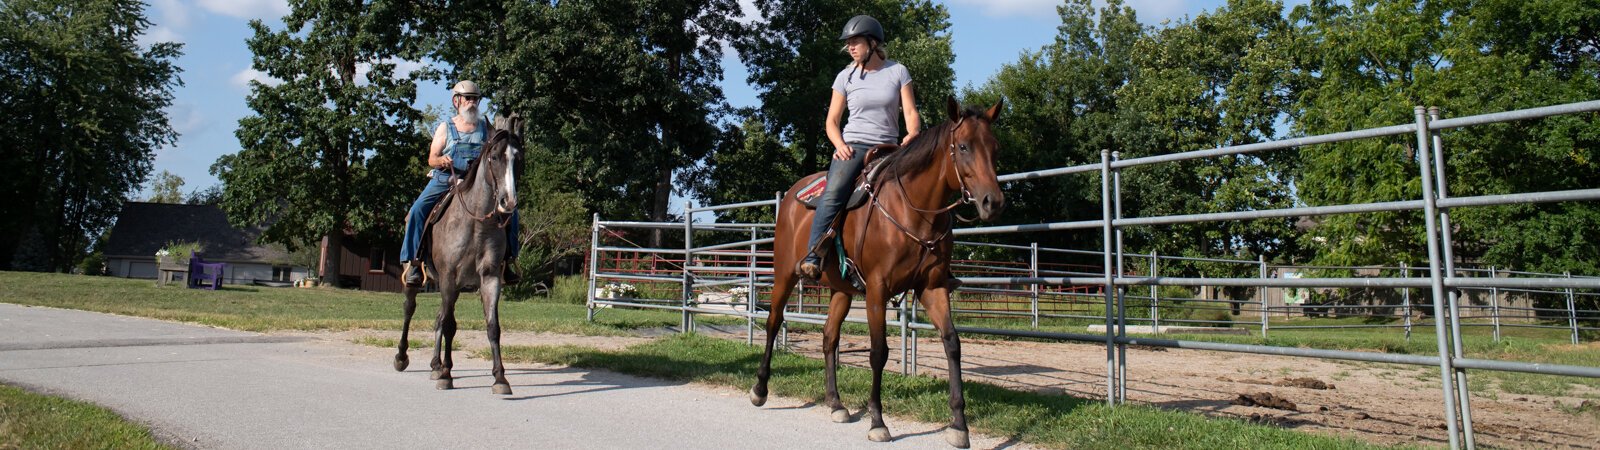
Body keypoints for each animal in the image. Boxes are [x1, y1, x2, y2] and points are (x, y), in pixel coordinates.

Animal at [392, 115, 521, 392]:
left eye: (519, 158)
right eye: (495, 156)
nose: (508, 202)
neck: (475, 223)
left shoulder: (490, 277)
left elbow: (492, 326)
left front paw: (500, 378)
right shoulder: (449, 276)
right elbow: (450, 325)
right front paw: (447, 374)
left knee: (440, 316)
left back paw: (434, 364)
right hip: (418, 275)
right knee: (410, 309)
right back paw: (402, 357)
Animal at [748, 97, 998, 445]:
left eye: (995, 147)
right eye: (963, 146)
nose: (993, 201)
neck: (913, 211)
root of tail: (792, 196)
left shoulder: (932, 287)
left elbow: (952, 343)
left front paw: (959, 425)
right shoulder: (878, 290)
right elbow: (879, 352)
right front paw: (878, 421)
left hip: (841, 290)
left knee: (829, 337)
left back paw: (835, 403)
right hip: (785, 274)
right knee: (773, 323)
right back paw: (760, 389)